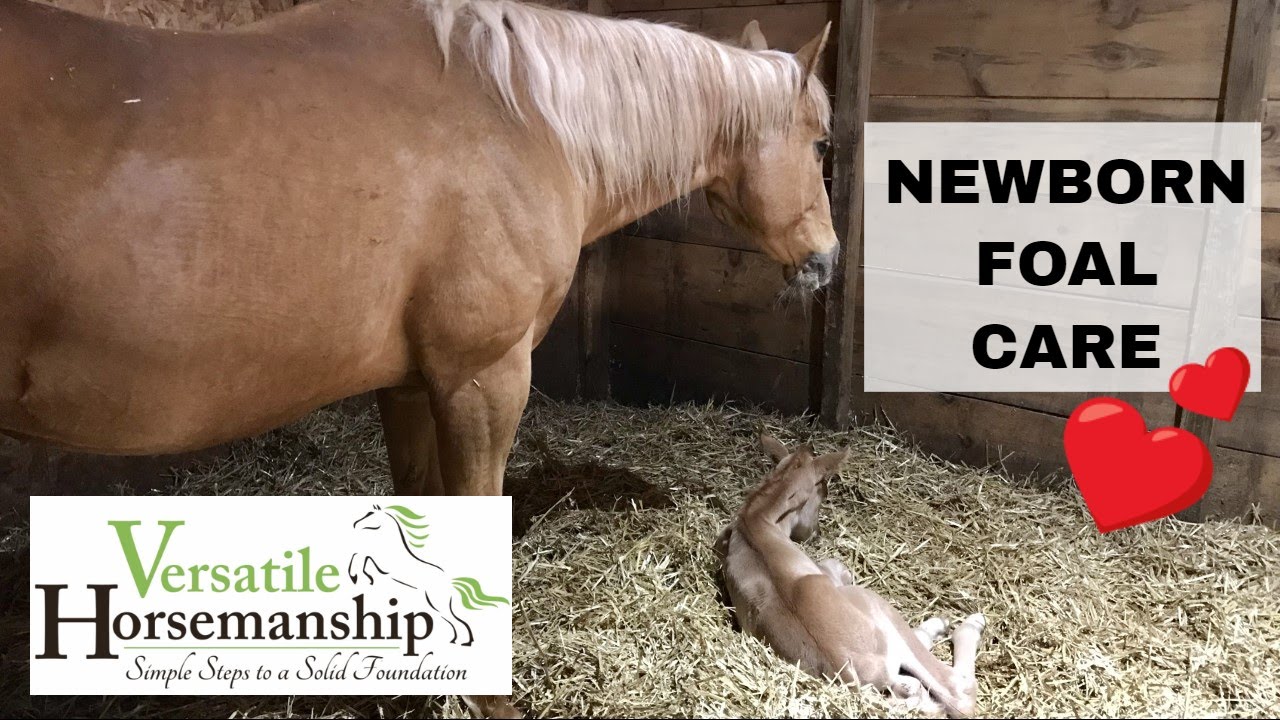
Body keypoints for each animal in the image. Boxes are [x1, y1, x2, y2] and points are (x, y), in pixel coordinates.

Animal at [350, 503, 509, 647]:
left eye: (370, 514)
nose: (356, 524)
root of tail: (450, 583)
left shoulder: (379, 561)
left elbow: (359, 555)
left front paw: (356, 576)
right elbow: (360, 557)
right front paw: (365, 578)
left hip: (438, 603)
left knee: (457, 621)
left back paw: (463, 641)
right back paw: (458, 641)